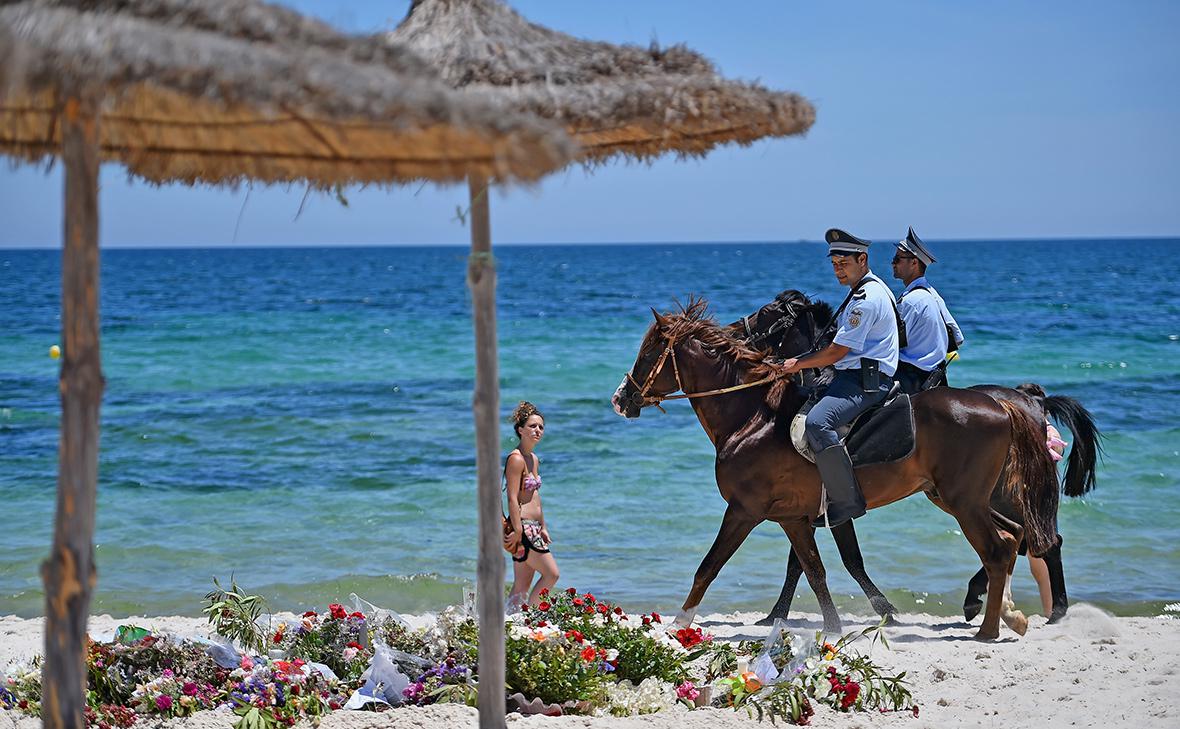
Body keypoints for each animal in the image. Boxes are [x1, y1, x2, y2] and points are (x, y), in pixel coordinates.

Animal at [613, 298, 1057, 636]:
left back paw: (988, 630)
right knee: (1013, 536)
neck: (752, 417)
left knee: (997, 550)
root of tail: (1001, 404)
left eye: (648, 354)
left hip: (963, 502)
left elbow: (709, 566)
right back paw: (1009, 616)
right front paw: (832, 625)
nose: (621, 399)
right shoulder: (793, 517)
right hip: (961, 499)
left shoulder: (744, 511)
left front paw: (680, 622)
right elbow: (814, 569)